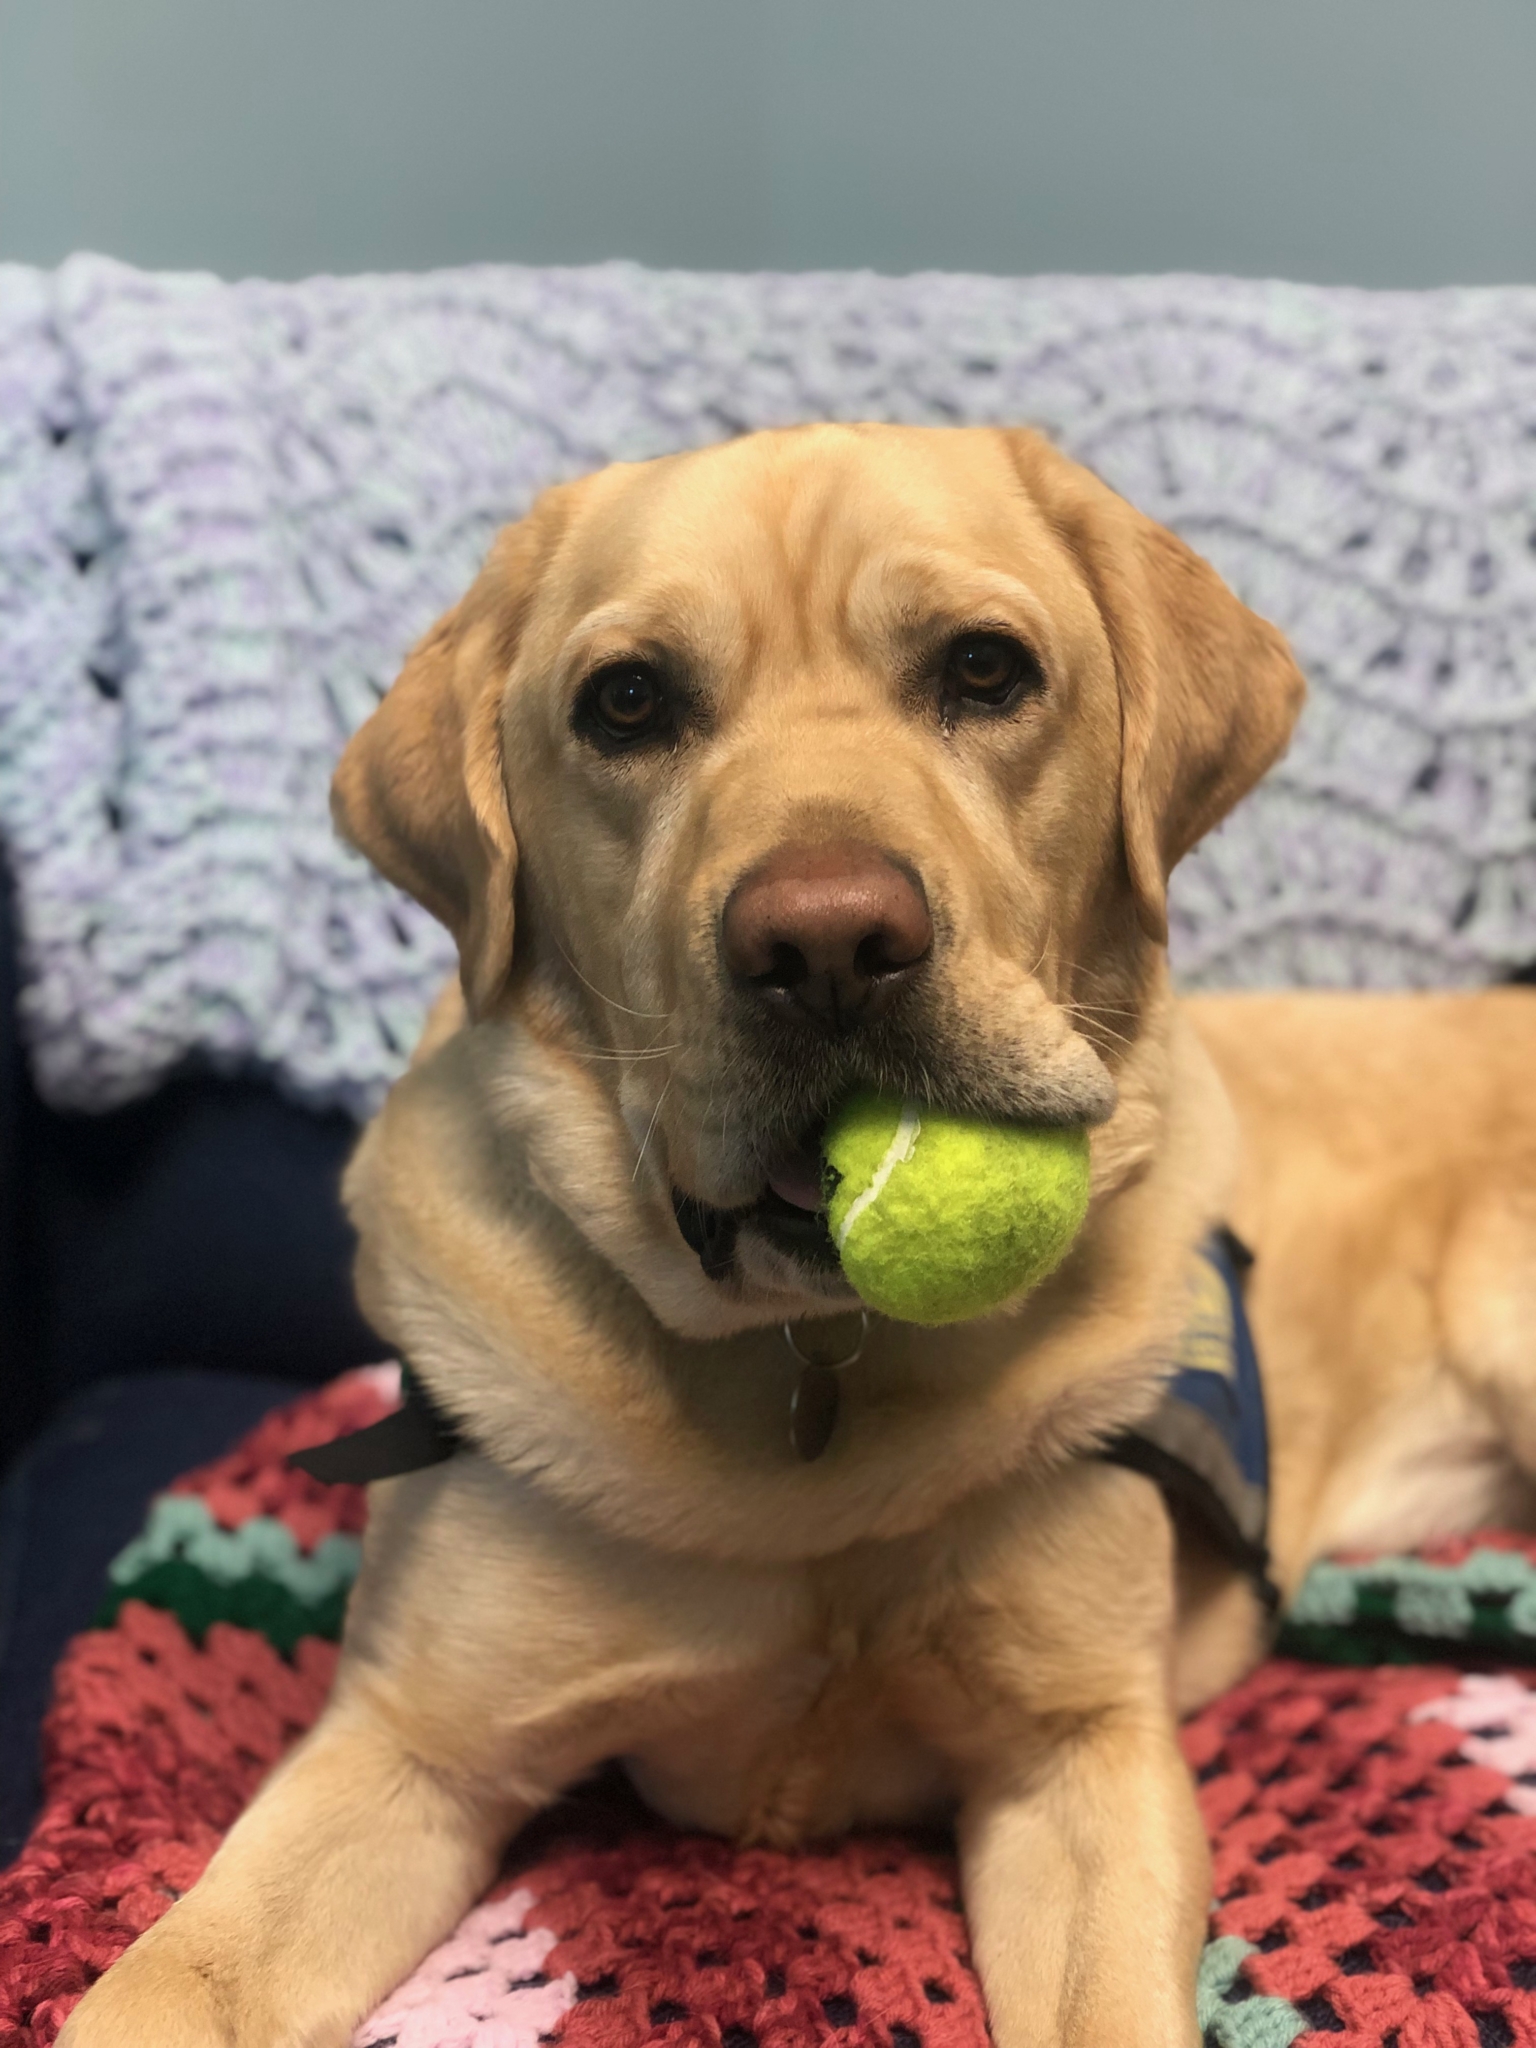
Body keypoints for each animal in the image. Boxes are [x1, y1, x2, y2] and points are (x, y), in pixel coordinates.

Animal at [66, 423, 1536, 2039]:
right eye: (626, 702)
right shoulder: (408, 1744)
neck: (814, 1369)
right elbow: (162, 1986)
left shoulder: (1080, 1753)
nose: (827, 942)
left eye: (985, 670)